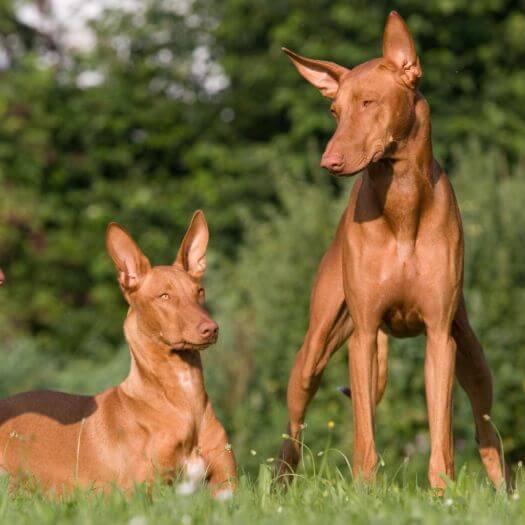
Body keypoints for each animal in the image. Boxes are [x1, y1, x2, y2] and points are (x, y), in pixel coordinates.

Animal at [0, 210, 235, 496]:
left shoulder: (228, 486)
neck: (185, 400)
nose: (211, 328)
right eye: (164, 296)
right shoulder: (141, 491)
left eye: (199, 291)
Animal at [278, 10, 504, 490]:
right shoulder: (363, 336)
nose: (329, 161)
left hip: (473, 357)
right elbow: (364, 430)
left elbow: (442, 429)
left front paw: (442, 491)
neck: (401, 203)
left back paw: (502, 489)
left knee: (485, 430)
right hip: (314, 351)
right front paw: (365, 490)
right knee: (293, 435)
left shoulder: (439, 336)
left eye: (369, 103)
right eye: (335, 110)